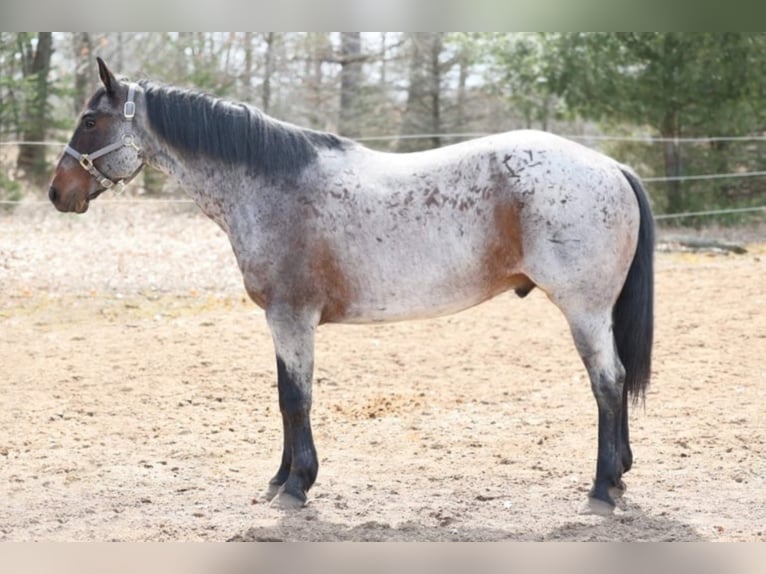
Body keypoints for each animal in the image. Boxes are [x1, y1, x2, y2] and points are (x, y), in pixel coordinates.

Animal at [48, 59, 656, 516]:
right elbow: (284, 397)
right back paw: (620, 476)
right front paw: (280, 478)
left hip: (583, 309)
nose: (58, 192)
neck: (268, 185)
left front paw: (297, 485)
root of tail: (610, 166)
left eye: (90, 121)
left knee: (607, 382)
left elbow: (296, 398)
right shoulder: (282, 322)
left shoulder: (291, 317)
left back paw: (601, 489)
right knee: (618, 378)